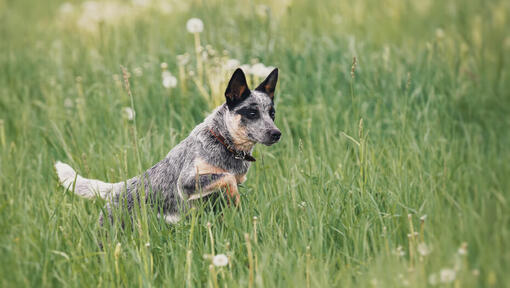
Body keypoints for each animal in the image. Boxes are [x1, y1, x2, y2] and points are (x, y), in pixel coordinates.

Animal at [54, 68, 280, 225]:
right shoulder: (187, 182)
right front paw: (235, 199)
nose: (277, 134)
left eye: (272, 114)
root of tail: (117, 188)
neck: (223, 143)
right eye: (252, 113)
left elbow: (230, 180)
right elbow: (227, 178)